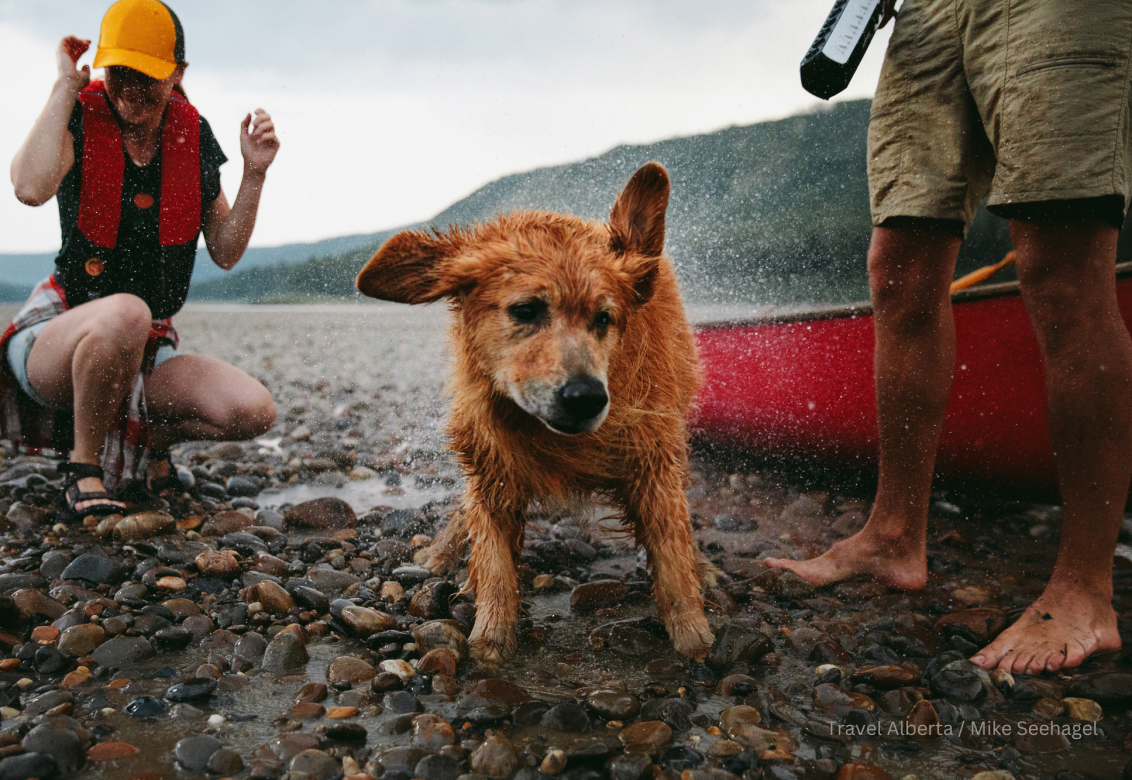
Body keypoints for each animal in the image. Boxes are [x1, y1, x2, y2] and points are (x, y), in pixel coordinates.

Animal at [357, 163, 710, 661]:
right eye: (525, 310)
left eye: (604, 319)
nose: (586, 397)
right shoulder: (493, 465)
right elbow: (492, 555)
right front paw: (491, 635)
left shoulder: (653, 457)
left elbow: (671, 546)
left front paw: (693, 631)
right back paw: (438, 555)